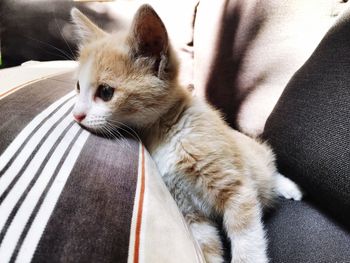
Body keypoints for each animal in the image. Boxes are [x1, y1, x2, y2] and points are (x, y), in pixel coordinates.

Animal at [70, 4, 300, 263]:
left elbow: (246, 240)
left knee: (270, 168)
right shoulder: (190, 210)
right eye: (78, 87)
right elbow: (207, 246)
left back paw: (288, 187)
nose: (76, 115)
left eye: (106, 92)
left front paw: (247, 256)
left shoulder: (237, 187)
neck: (167, 130)